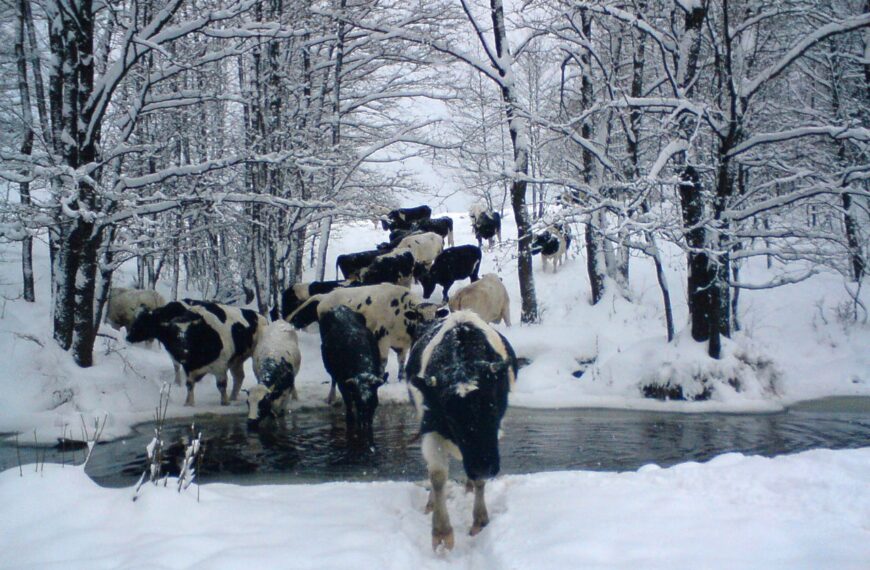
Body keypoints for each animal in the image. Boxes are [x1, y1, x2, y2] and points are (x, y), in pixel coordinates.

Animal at [127, 300, 266, 406]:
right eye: (174, 334)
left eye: (190, 334)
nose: (128, 337)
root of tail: (259, 316)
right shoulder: (187, 366)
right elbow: (189, 384)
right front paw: (188, 403)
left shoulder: (220, 365)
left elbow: (221, 385)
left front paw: (224, 402)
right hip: (236, 360)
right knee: (239, 376)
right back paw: (233, 397)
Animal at [287, 283, 447, 379]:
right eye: (419, 316)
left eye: (436, 315)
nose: (429, 327)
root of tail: (325, 296)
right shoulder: (383, 339)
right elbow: (383, 361)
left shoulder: (403, 345)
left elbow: (401, 362)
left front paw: (401, 378)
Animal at [319, 305, 388, 437]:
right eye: (357, 401)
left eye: (374, 402)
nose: (365, 424)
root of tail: (338, 307)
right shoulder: (343, 385)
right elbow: (349, 411)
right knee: (332, 378)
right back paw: (331, 397)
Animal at [406, 311, 518, 550]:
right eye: (449, 416)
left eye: (494, 407)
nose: (483, 466)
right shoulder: (431, 427)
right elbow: (437, 475)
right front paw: (441, 533)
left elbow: (479, 482)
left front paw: (480, 520)